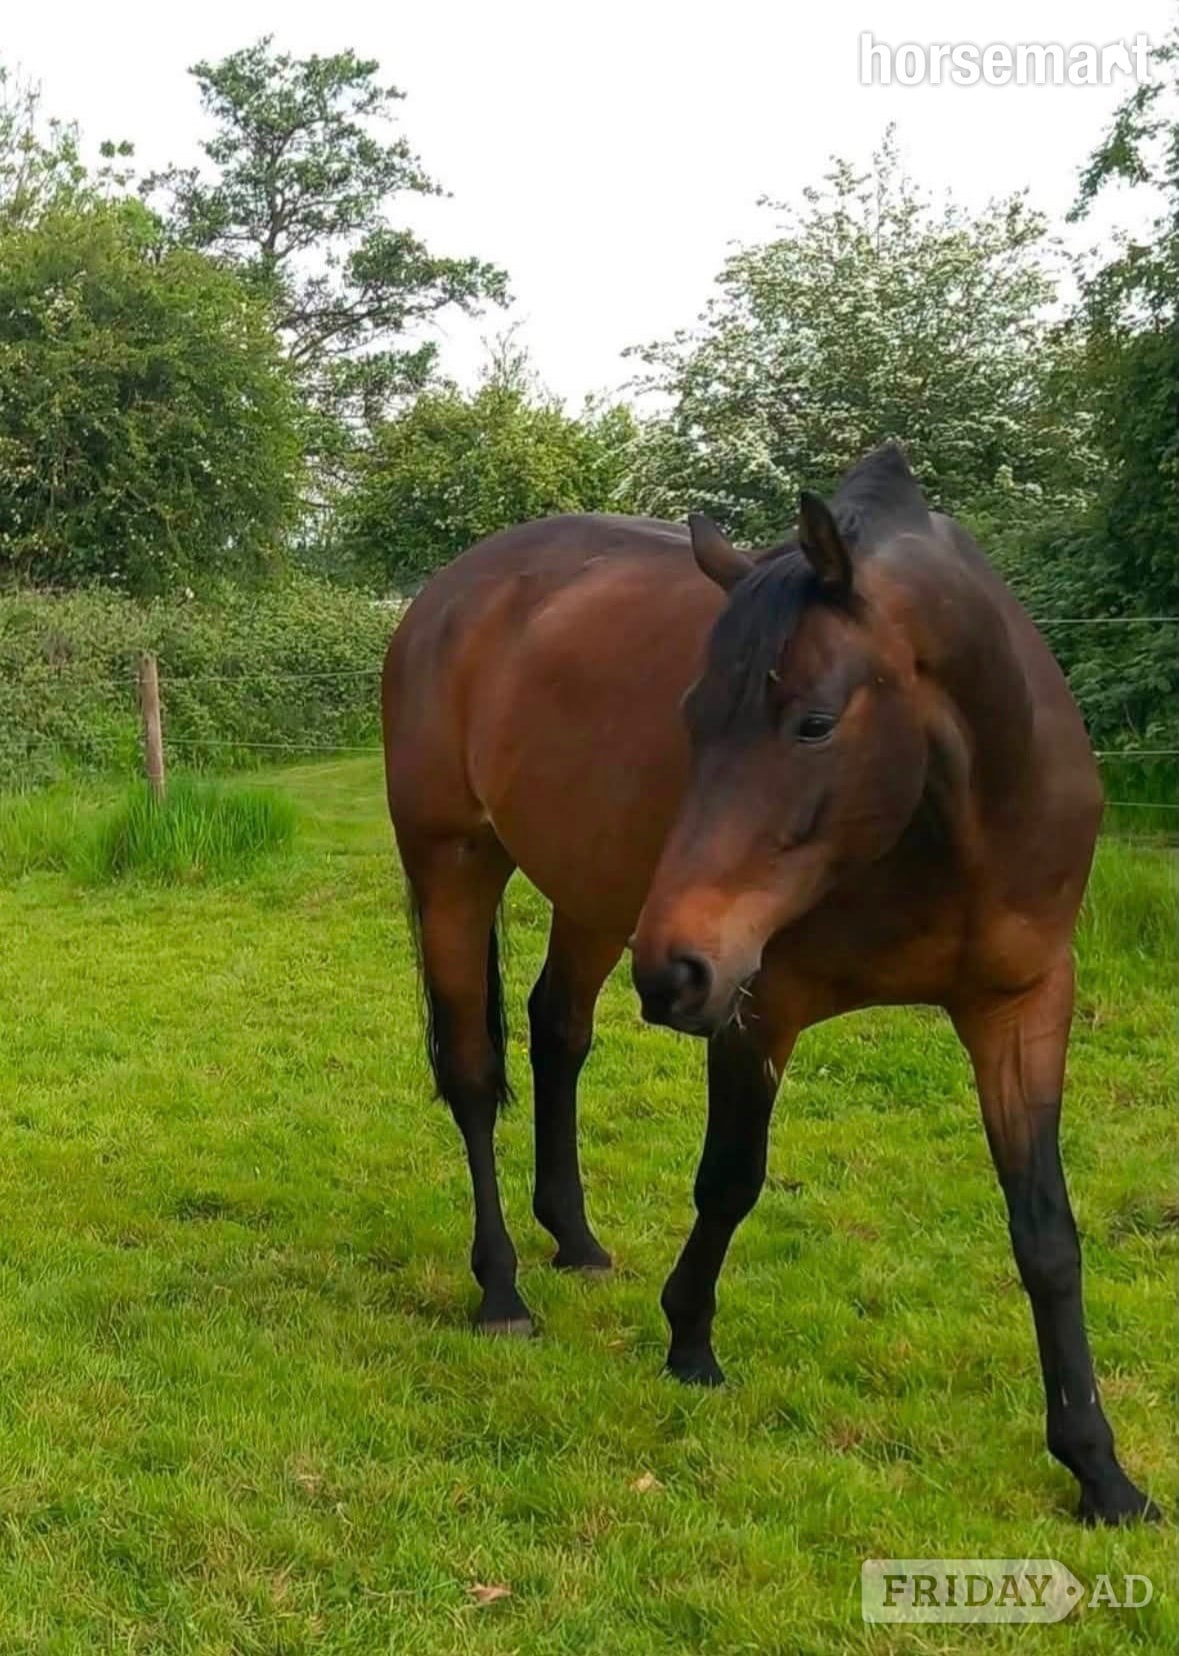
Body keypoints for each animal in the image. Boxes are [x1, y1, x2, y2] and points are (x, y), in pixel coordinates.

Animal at [381, 442, 1156, 1524]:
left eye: (814, 723)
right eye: (690, 716)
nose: (675, 971)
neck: (942, 825)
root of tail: (446, 592)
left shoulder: (1022, 1007)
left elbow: (1045, 1232)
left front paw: (1100, 1470)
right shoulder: (759, 1005)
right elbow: (730, 1179)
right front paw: (689, 1345)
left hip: (596, 901)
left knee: (557, 1032)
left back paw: (574, 1237)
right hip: (460, 866)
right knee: (471, 1075)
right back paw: (501, 1292)